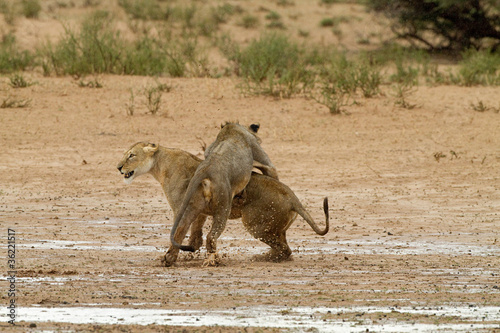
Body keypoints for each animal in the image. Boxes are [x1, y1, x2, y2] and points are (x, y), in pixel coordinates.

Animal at [115, 143, 330, 264]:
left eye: (131, 155)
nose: (118, 167)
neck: (160, 165)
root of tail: (294, 197)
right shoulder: (198, 209)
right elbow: (194, 231)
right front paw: (192, 247)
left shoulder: (182, 209)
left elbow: (178, 232)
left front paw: (169, 258)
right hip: (275, 228)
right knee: (286, 250)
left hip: (256, 225)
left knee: (285, 250)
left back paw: (260, 257)